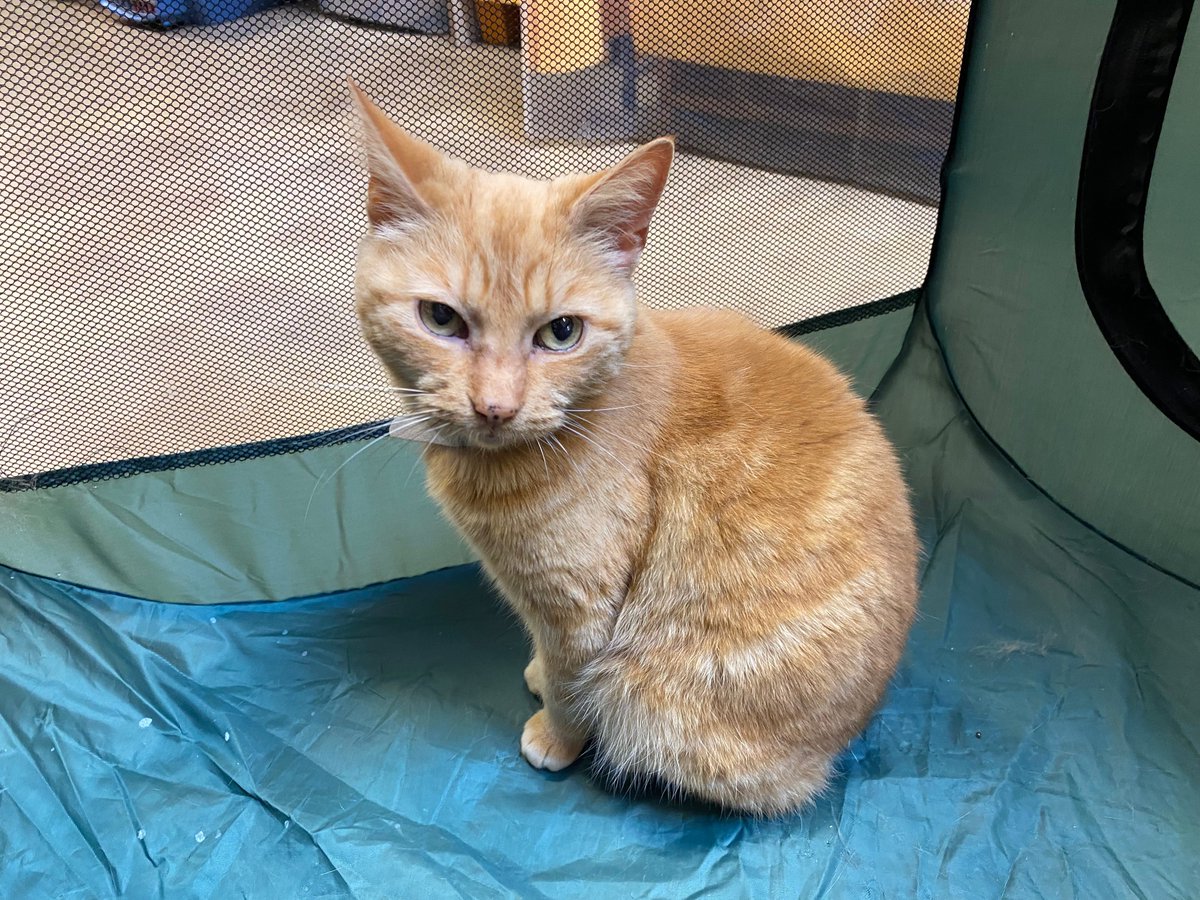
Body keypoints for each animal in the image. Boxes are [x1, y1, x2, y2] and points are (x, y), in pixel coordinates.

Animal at [350, 82, 916, 816]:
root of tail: (840, 748)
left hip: (656, 695)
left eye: (561, 333)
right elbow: (548, 660)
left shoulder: (581, 612)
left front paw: (555, 736)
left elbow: (571, 687)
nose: (495, 406)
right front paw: (536, 675)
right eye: (440, 319)